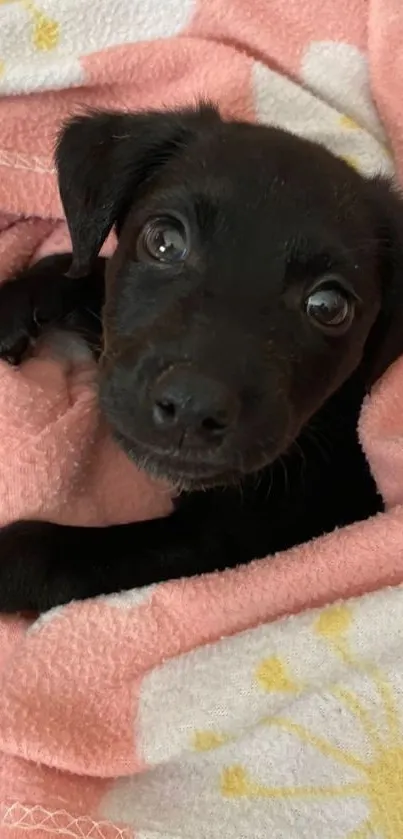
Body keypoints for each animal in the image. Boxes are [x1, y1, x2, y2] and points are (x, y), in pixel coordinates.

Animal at [0, 106, 400, 616]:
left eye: (328, 306)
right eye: (165, 241)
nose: (192, 407)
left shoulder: (232, 540)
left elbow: (52, 556)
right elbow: (81, 269)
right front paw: (13, 306)